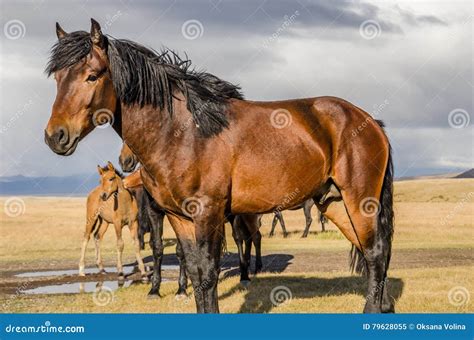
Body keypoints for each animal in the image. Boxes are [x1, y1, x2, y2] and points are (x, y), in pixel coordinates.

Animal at [44, 19, 394, 314]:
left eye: (92, 75)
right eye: (58, 78)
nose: (55, 136)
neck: (183, 132)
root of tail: (369, 121)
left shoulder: (207, 214)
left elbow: (209, 274)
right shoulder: (179, 218)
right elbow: (195, 274)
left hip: (358, 200)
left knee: (375, 253)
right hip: (333, 202)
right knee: (369, 252)